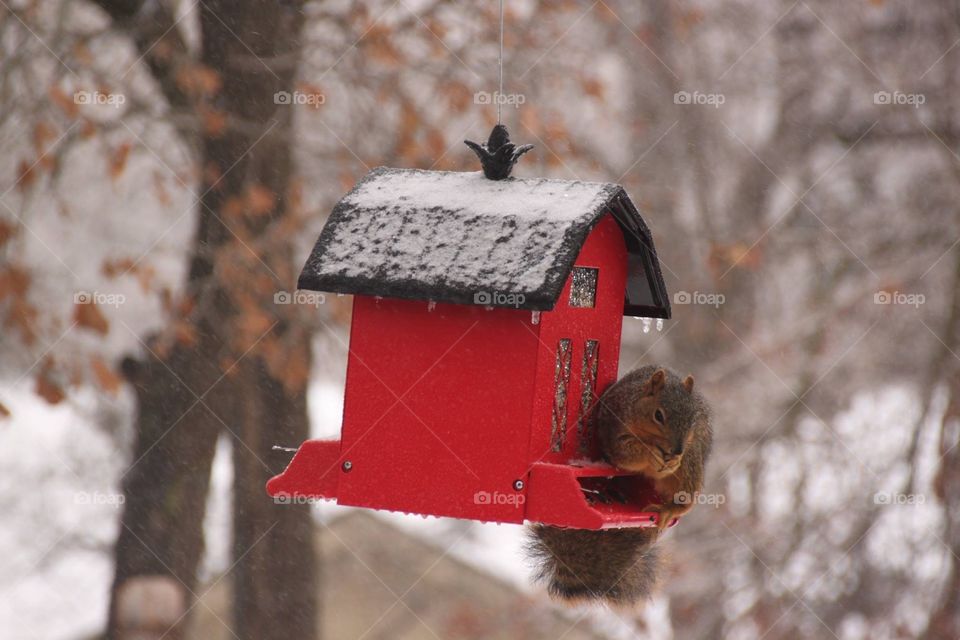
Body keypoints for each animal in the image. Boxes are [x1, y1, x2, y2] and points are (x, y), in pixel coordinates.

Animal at [527, 365, 713, 606]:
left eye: (692, 419)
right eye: (659, 415)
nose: (676, 450)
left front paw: (672, 461)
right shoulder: (615, 434)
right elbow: (629, 452)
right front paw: (651, 453)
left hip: (692, 463)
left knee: (685, 497)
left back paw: (669, 508)